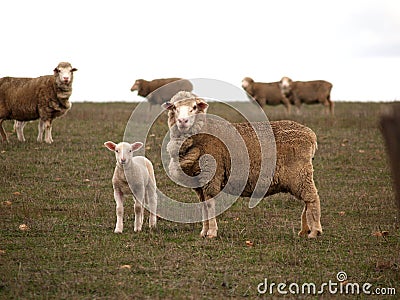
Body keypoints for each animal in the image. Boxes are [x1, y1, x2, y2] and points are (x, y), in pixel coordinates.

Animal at [162, 91, 322, 239]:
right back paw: (304, 231)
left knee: (312, 198)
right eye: (174, 107)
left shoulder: (211, 177)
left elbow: (210, 205)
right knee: (307, 201)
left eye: (194, 107)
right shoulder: (198, 183)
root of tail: (310, 134)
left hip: (300, 174)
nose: (182, 121)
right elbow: (203, 207)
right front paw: (204, 232)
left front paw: (212, 233)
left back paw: (314, 231)